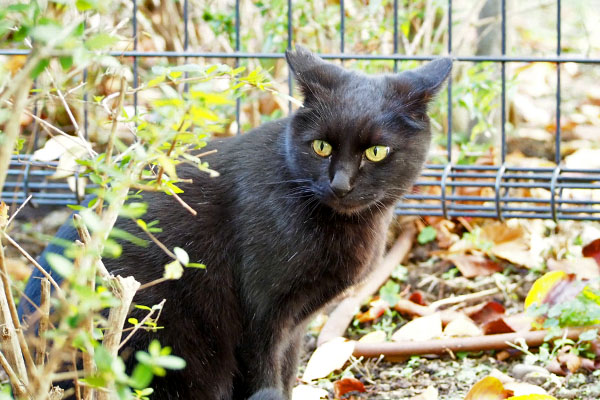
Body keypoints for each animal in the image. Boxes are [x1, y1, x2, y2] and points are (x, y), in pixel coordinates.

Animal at [19, 47, 450, 400]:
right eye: (321, 146)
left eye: (377, 152)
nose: (340, 184)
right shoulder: (260, 314)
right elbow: (266, 375)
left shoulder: (296, 325)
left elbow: (287, 372)